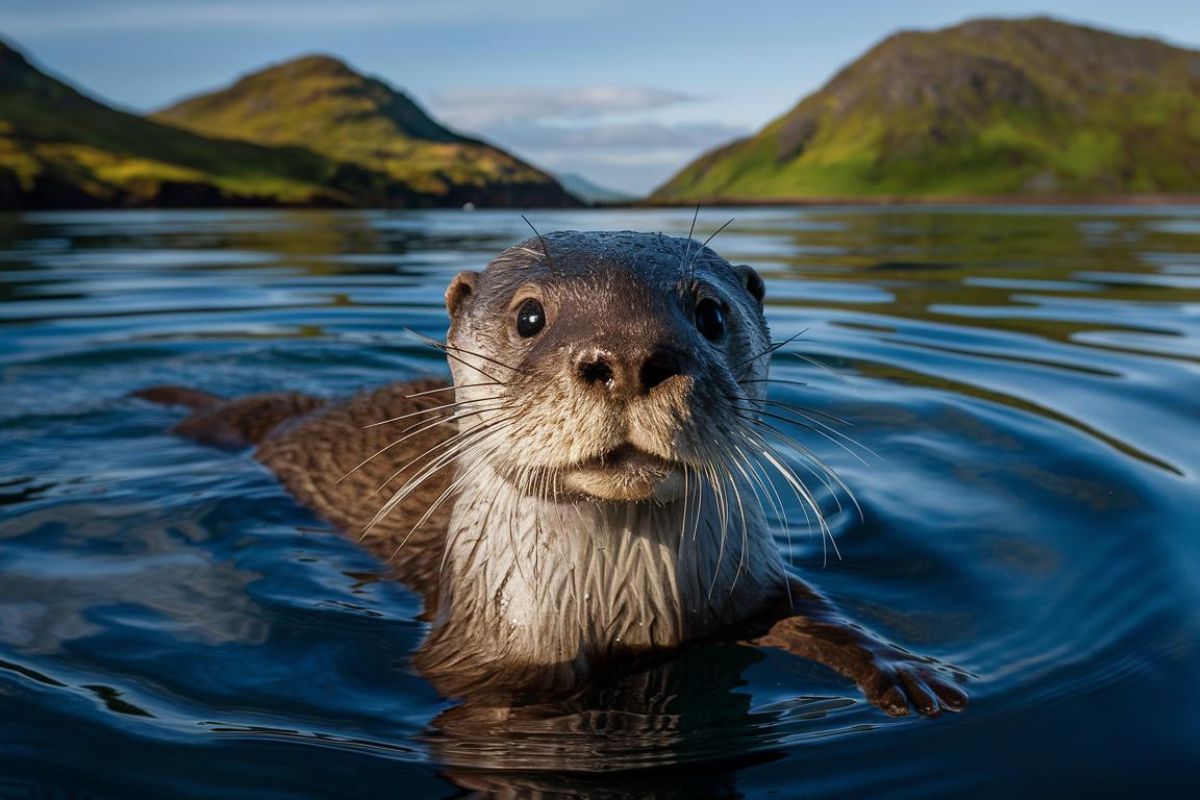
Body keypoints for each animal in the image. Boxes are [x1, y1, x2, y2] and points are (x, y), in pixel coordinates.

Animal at [138, 231, 964, 719]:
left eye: (711, 314)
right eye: (530, 316)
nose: (629, 355)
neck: (626, 607)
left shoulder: (742, 587)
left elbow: (817, 612)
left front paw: (906, 668)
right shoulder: (483, 664)